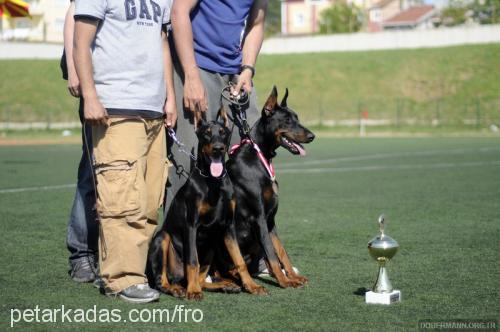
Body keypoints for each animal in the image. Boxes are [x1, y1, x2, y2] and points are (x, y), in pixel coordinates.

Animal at [147, 108, 268, 300]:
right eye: (207, 134)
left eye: (223, 133)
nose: (218, 148)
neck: (213, 182)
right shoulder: (191, 225)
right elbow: (192, 262)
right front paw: (193, 291)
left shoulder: (228, 227)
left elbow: (240, 260)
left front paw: (252, 286)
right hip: (162, 238)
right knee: (163, 280)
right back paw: (179, 289)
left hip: (211, 245)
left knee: (201, 278)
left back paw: (226, 285)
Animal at [223, 87, 316, 290]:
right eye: (287, 120)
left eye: (297, 118)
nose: (312, 136)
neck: (259, 156)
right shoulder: (259, 217)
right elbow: (272, 254)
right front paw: (284, 281)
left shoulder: (271, 218)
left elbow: (280, 251)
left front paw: (292, 277)